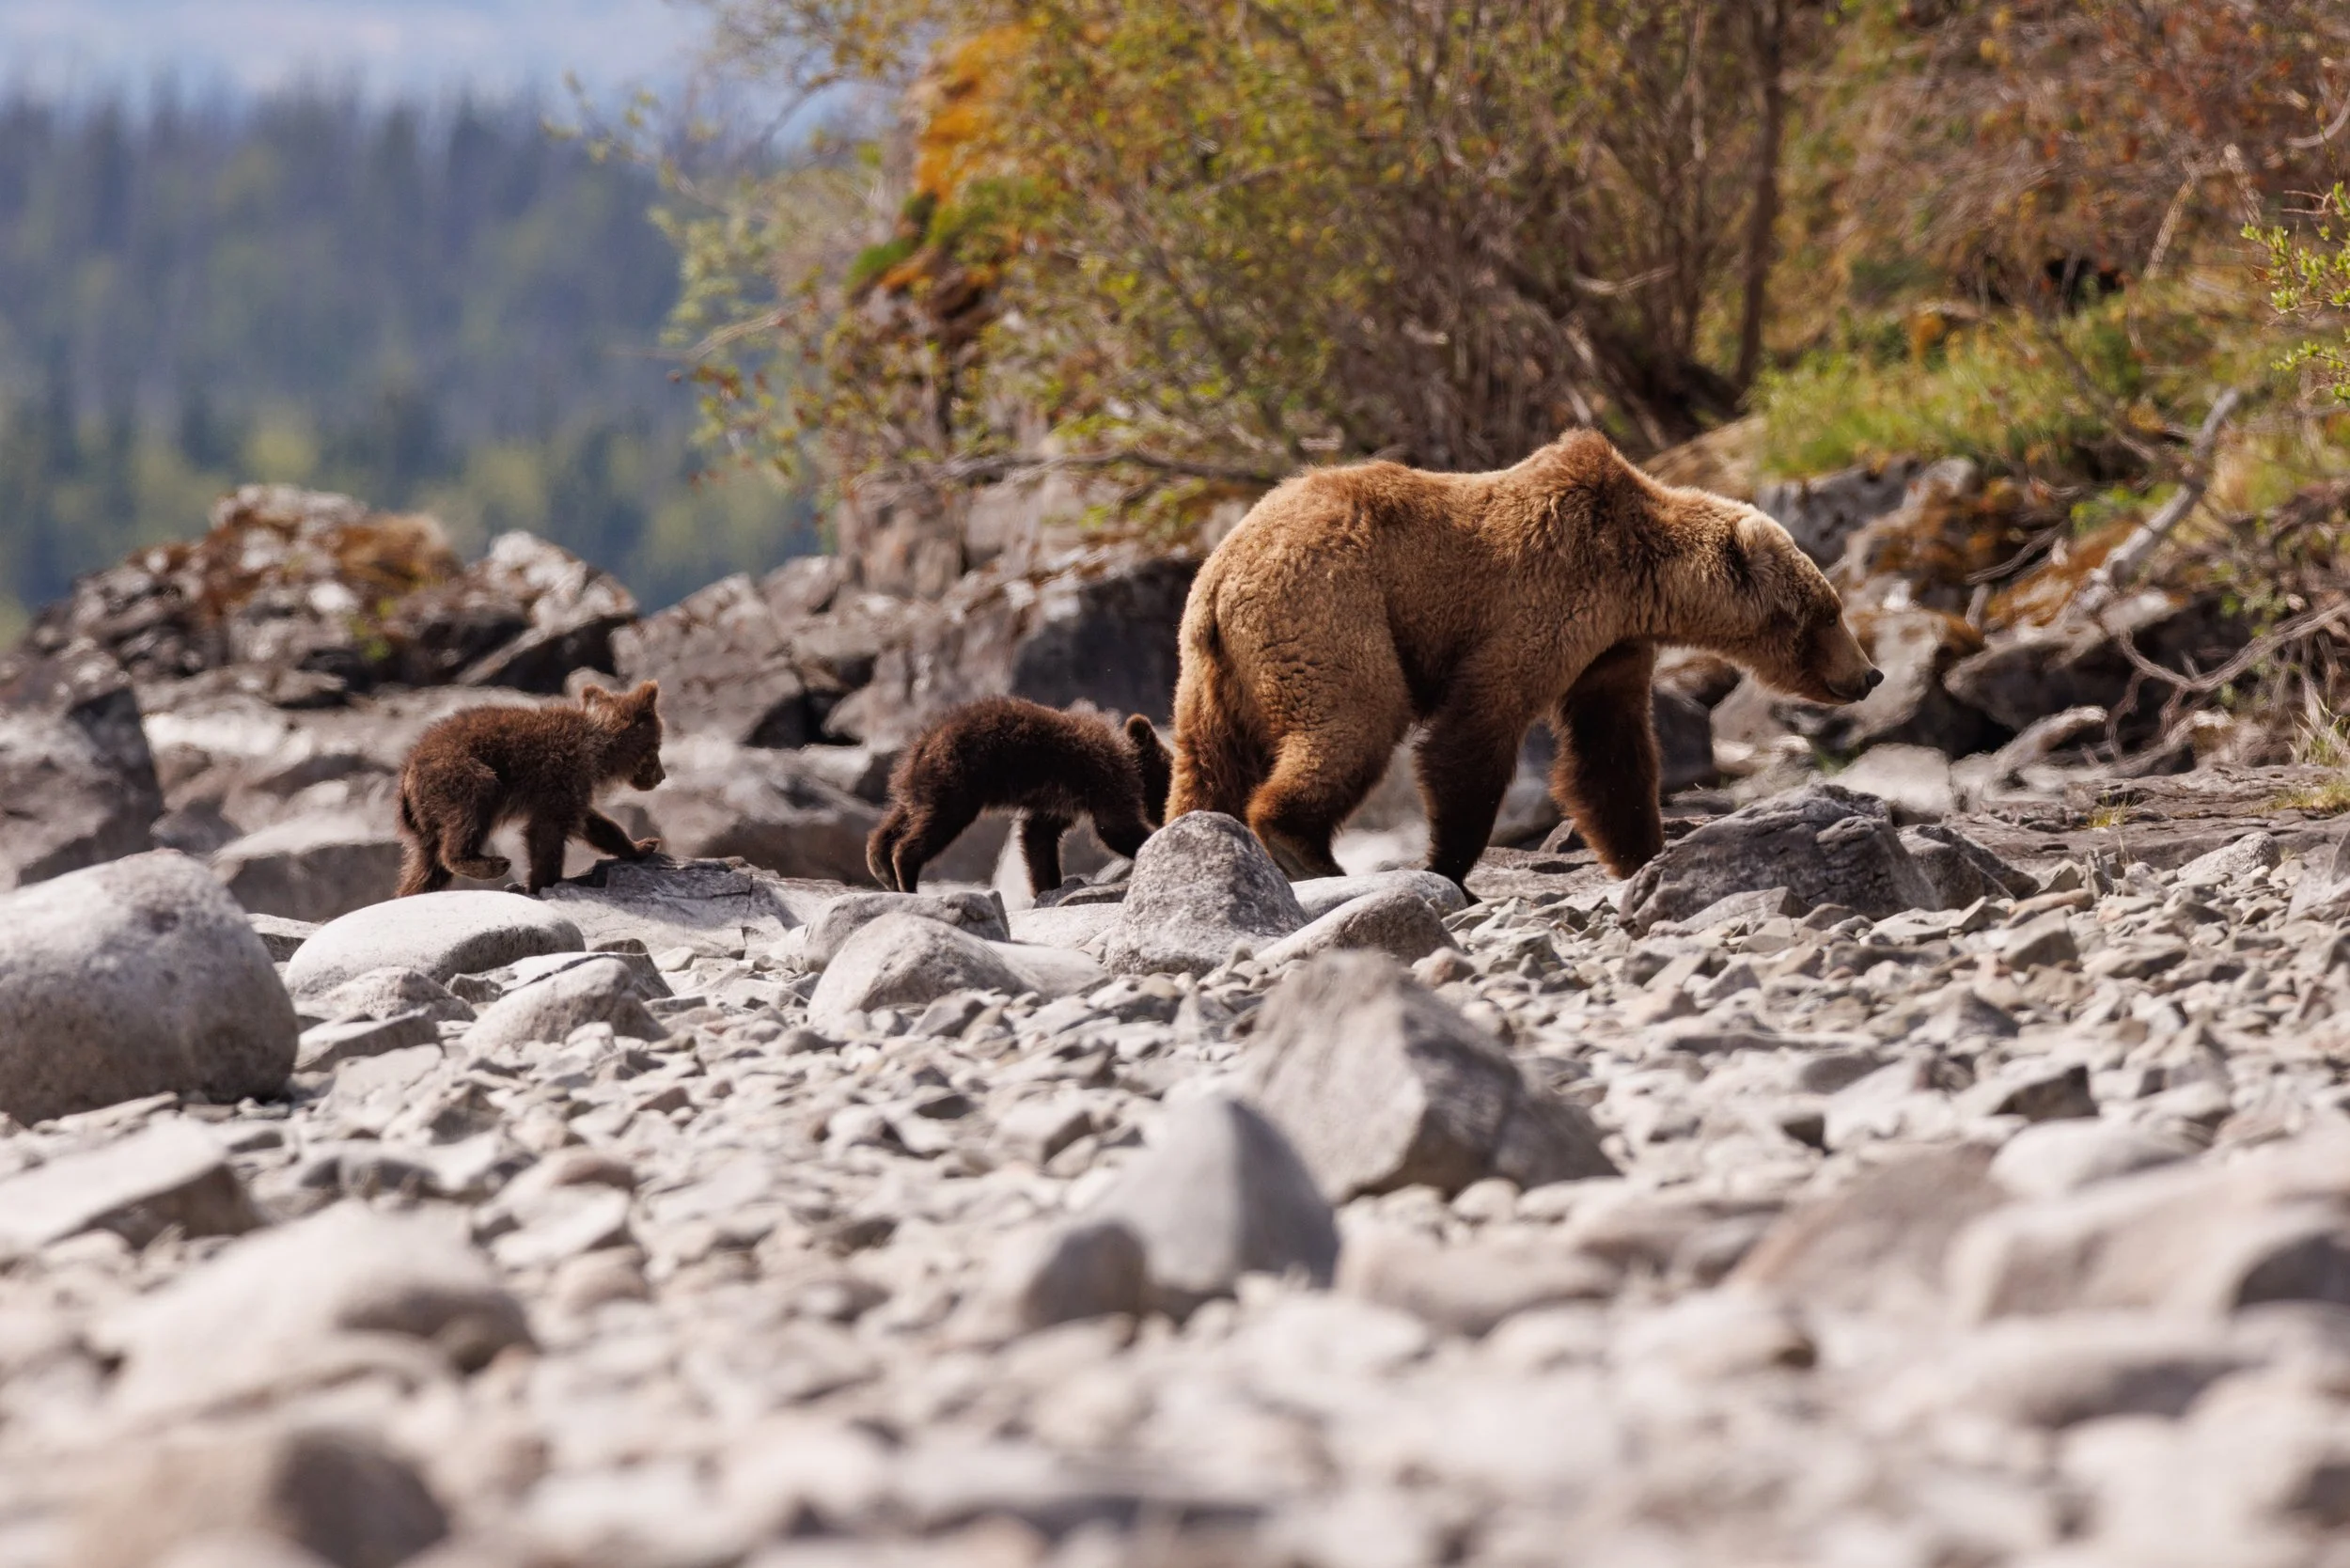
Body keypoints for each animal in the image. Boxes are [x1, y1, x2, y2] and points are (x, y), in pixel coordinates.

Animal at [396, 680, 667, 897]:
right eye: (656, 747)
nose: (662, 776)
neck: (596, 747)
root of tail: (407, 771)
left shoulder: (572, 785)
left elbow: (594, 824)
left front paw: (642, 845)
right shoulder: (563, 771)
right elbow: (547, 831)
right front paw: (543, 883)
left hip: (425, 817)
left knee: (426, 864)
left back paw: (411, 893)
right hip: (459, 775)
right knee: (470, 810)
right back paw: (488, 863)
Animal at [867, 697, 1174, 897]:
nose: (1166, 817)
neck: (1131, 760)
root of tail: (924, 742)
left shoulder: (1059, 802)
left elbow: (1037, 837)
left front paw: (1047, 886)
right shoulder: (1104, 780)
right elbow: (1114, 828)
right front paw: (1150, 845)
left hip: (922, 783)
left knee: (901, 817)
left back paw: (881, 865)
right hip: (957, 780)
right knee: (934, 825)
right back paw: (906, 876)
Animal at [1167, 429, 1881, 890]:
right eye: (1827, 611)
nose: (1869, 674)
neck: (1640, 581)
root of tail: (1216, 579)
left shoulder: (1611, 651)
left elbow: (1611, 756)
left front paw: (1644, 853)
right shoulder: (1538, 603)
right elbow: (1473, 734)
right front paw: (1448, 868)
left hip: (1216, 674)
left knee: (1209, 764)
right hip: (1329, 612)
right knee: (1354, 720)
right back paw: (1301, 847)